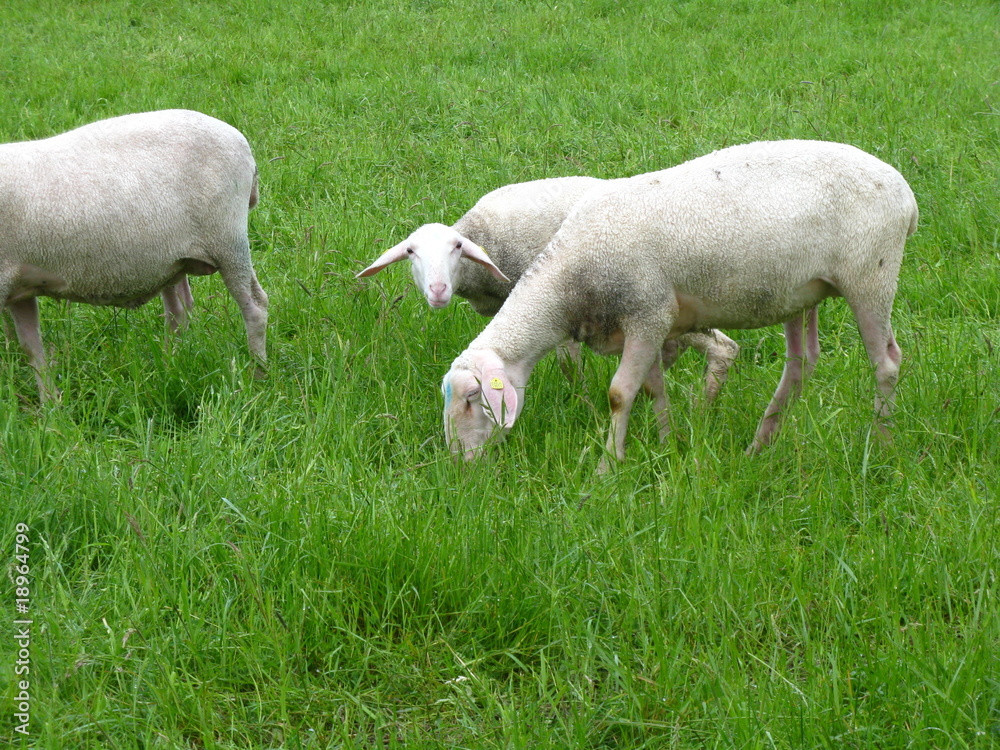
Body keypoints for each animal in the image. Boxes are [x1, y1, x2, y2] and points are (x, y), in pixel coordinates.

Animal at [0, 109, 268, 400]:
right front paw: (51, 405)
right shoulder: (19, 287)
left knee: (255, 306)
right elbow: (31, 348)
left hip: (228, 239)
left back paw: (258, 377)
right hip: (173, 259)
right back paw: (170, 367)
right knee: (179, 310)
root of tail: (238, 138)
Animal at [358, 176, 739, 401]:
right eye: (411, 252)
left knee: (723, 347)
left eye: (456, 247)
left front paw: (580, 402)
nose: (438, 289)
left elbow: (569, 365)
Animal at [441, 140, 918, 467]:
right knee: (802, 364)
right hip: (802, 292)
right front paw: (667, 445)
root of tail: (906, 195)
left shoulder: (648, 313)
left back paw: (882, 444)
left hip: (870, 275)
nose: (461, 467)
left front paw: (608, 467)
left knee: (887, 362)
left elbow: (619, 394)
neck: (569, 284)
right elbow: (652, 388)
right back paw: (759, 444)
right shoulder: (646, 322)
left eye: (471, 398)